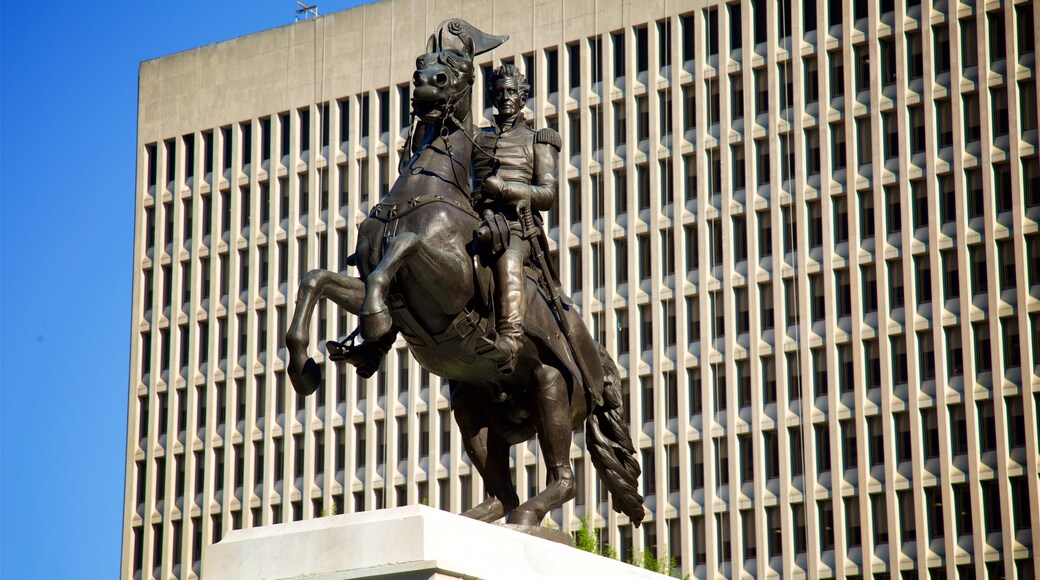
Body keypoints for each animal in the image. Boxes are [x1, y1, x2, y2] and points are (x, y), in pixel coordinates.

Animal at [284, 20, 640, 532]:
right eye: (421, 62)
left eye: (458, 65)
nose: (426, 84)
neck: (423, 190)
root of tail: (600, 363)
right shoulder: (384, 289)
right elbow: (316, 279)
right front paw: (305, 367)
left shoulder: (445, 284)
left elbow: (405, 247)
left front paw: (372, 320)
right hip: (472, 405)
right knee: (502, 489)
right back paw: (477, 515)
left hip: (552, 388)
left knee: (562, 478)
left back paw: (528, 515)